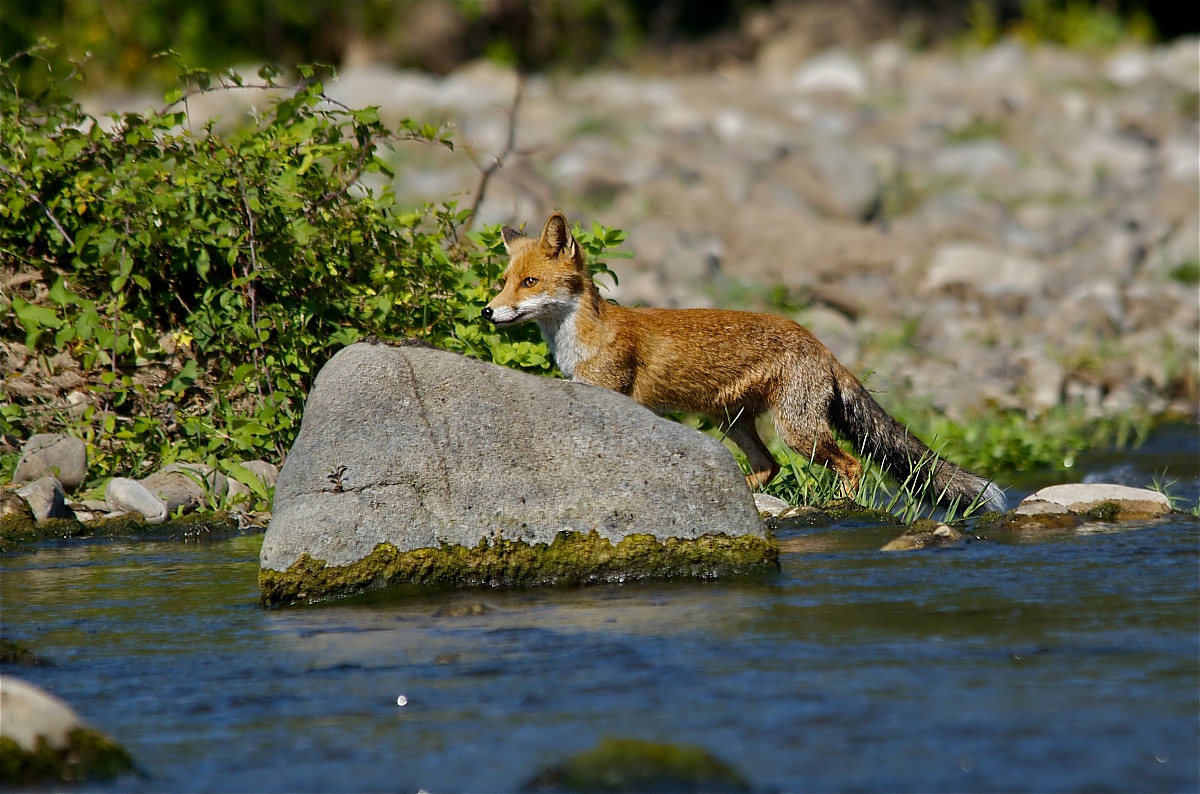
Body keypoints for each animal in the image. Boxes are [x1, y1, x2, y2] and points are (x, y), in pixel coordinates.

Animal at [481, 212, 1005, 512]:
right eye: (504, 281)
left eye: (529, 282)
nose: (487, 311)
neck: (583, 337)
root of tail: (819, 343)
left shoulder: (615, 395)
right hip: (733, 424)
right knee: (769, 468)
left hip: (799, 432)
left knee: (852, 464)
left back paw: (839, 508)